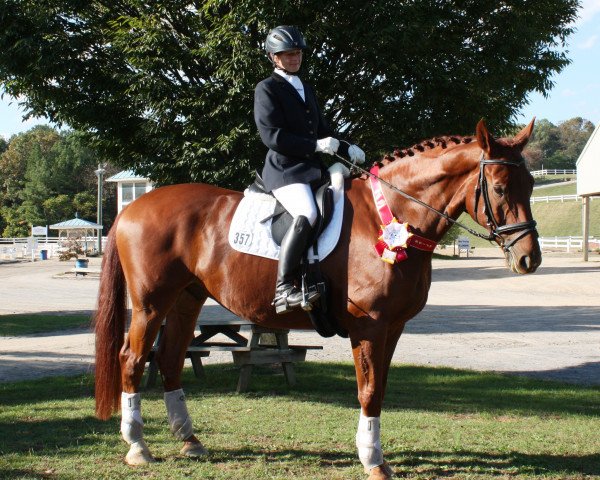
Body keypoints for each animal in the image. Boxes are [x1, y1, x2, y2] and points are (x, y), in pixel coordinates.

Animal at [94, 118, 540, 478]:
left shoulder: (393, 327)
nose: (529, 258)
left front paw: (374, 455)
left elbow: (380, 389)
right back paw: (138, 446)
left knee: (170, 359)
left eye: (532, 185)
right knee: (132, 358)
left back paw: (189, 440)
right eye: (500, 188)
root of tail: (133, 206)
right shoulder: (370, 326)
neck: (390, 215)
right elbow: (368, 390)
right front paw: (373, 461)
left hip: (187, 299)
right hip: (152, 303)